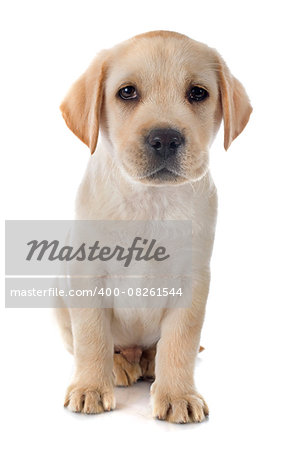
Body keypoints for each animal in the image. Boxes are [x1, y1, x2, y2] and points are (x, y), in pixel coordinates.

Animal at [57, 30, 252, 422]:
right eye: (127, 92)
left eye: (198, 93)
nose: (164, 139)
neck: (151, 202)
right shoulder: (86, 273)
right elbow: (91, 336)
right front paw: (90, 386)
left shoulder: (193, 280)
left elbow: (180, 342)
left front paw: (178, 394)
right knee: (99, 344)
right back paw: (118, 365)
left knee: (156, 348)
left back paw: (148, 362)